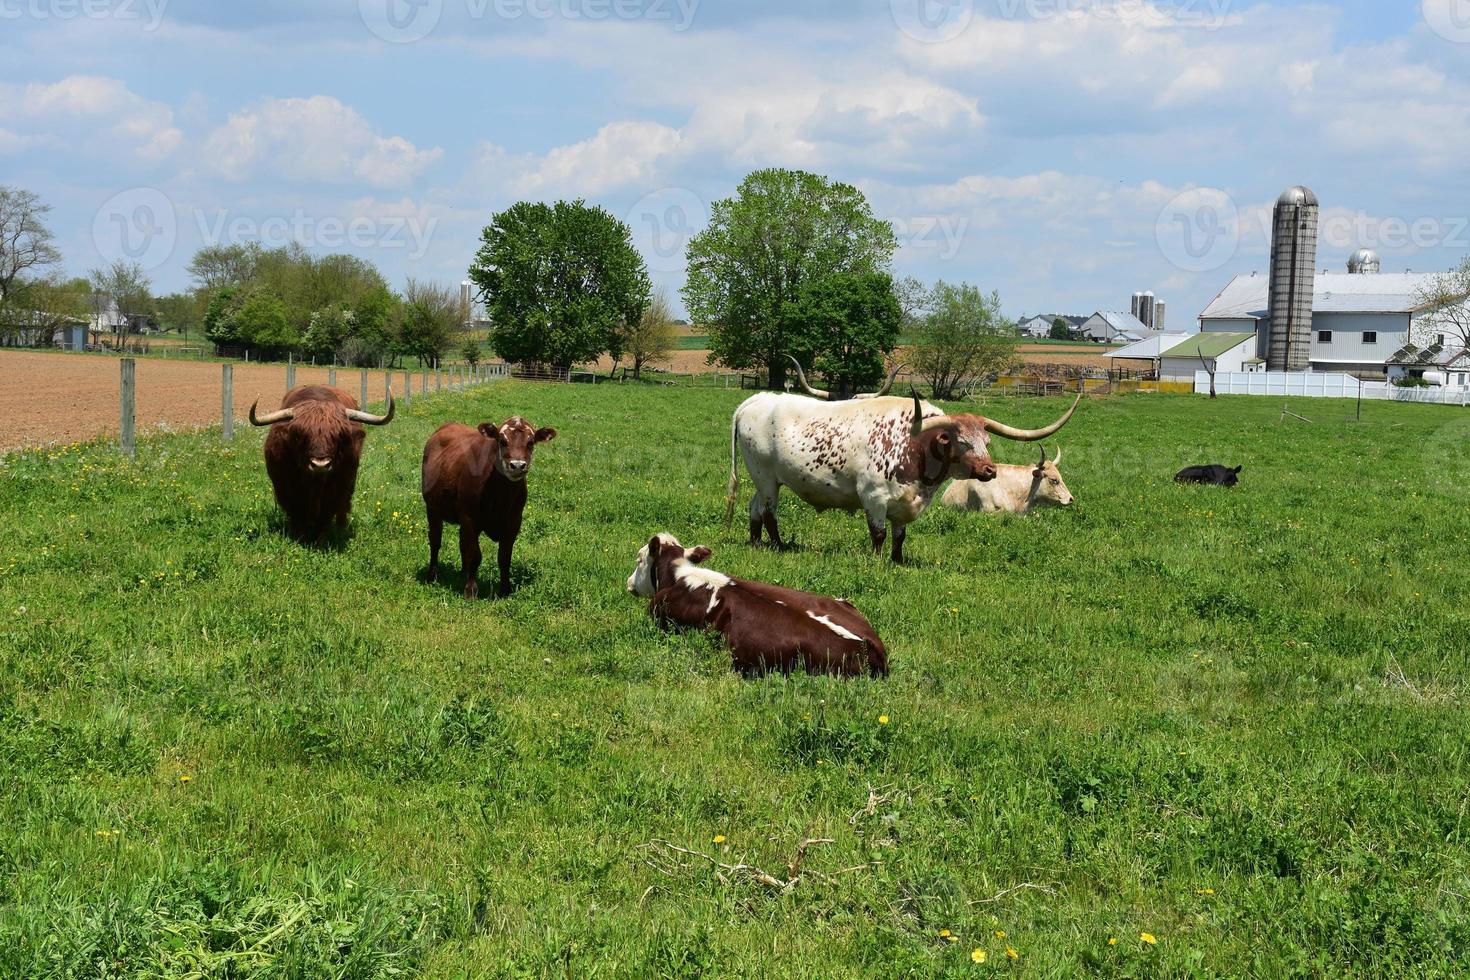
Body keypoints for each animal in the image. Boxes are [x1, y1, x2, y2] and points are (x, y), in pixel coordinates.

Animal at [249, 382, 393, 540]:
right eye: (300, 435)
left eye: (338, 436)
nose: (320, 465)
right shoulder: (285, 485)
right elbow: (296, 512)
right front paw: (298, 537)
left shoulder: (338, 487)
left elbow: (326, 514)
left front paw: (320, 540)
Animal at [420, 414, 555, 599]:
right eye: (502, 441)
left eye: (531, 442)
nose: (517, 465)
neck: (501, 495)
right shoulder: (470, 518)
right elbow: (474, 554)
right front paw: (471, 591)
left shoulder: (513, 522)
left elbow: (504, 558)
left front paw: (505, 590)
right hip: (433, 509)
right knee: (435, 542)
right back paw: (431, 576)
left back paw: (462, 573)